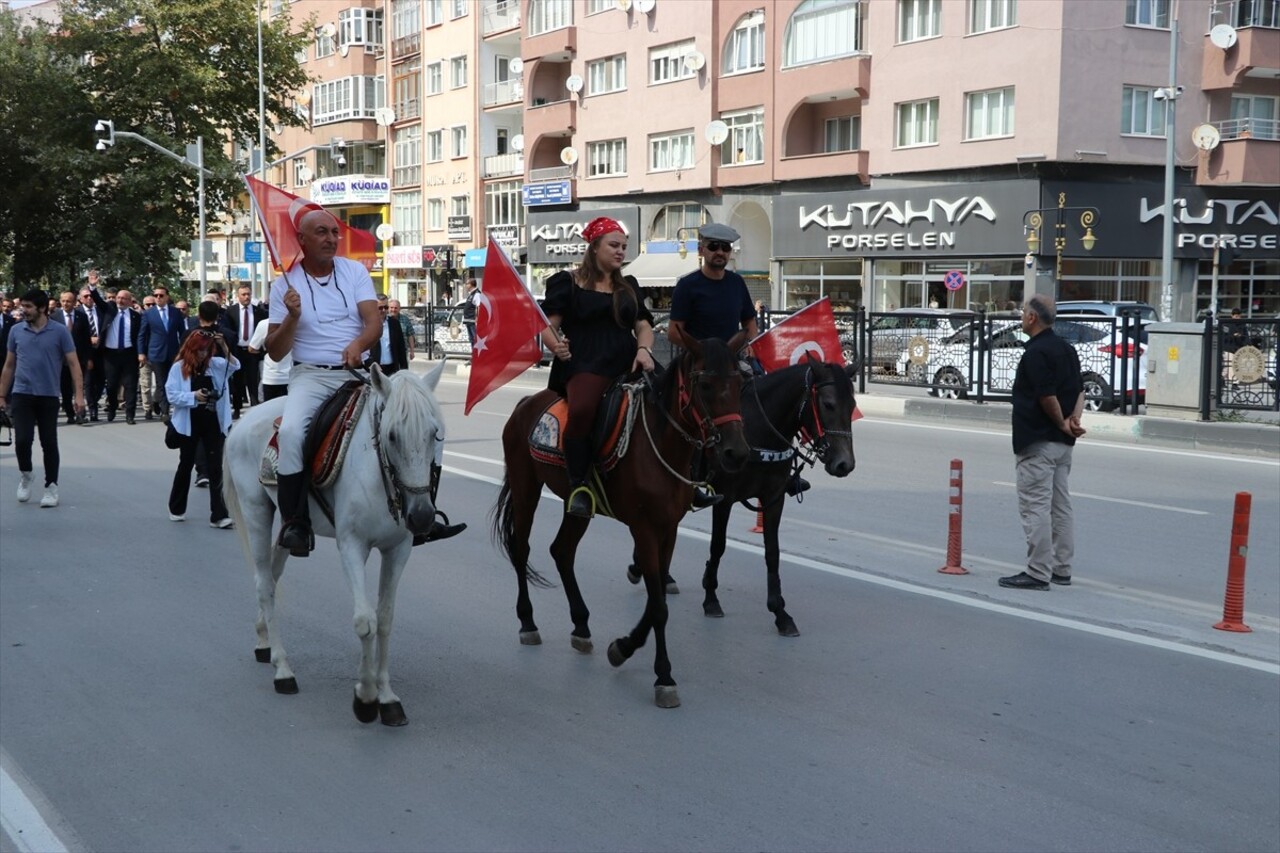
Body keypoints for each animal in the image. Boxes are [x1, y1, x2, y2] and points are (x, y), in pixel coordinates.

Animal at [225, 358, 450, 722]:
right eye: (392, 435)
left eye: (434, 433)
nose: (421, 517)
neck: (379, 475)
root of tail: (243, 421)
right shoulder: (352, 546)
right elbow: (364, 621)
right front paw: (366, 696)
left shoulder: (398, 549)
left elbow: (384, 619)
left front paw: (387, 696)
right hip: (256, 512)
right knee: (264, 585)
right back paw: (282, 669)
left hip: (288, 524)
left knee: (273, 572)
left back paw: (264, 642)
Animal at [488, 335, 747, 706]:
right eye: (706, 385)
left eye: (740, 383)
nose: (736, 453)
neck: (661, 446)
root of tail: (526, 402)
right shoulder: (644, 529)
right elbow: (658, 607)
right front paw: (663, 675)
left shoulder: (669, 529)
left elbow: (657, 599)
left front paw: (623, 648)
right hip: (526, 489)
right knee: (521, 548)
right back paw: (528, 622)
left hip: (576, 506)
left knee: (562, 551)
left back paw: (581, 625)